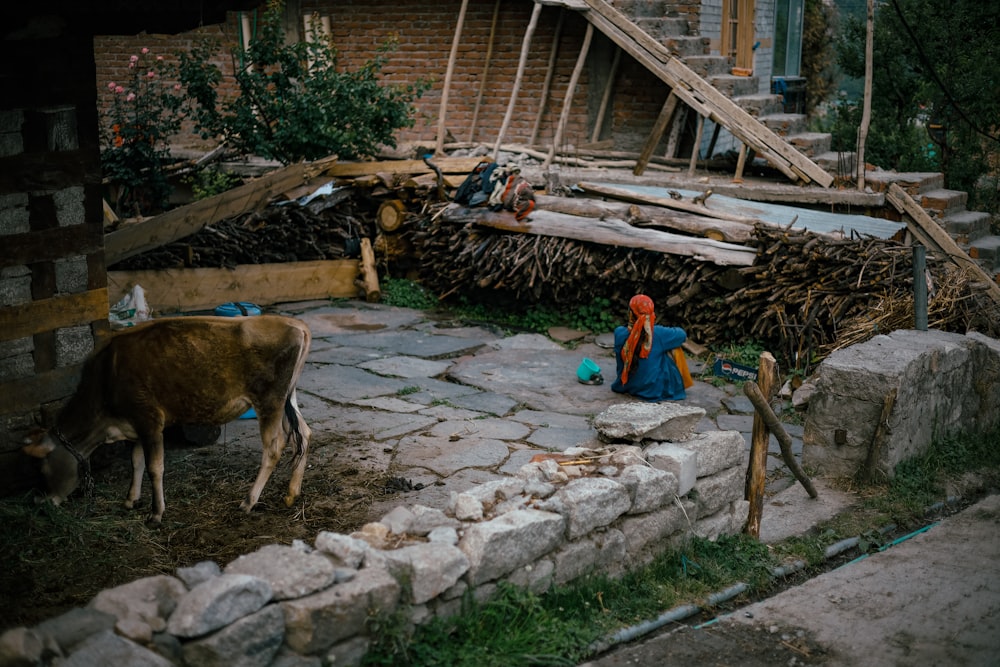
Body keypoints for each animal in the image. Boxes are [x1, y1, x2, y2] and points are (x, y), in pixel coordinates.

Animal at [23, 316, 312, 524]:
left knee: (274, 447)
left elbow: (154, 467)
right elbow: (136, 461)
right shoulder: (136, 424)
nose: (41, 503)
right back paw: (291, 493)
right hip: (287, 397)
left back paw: (248, 501)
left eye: (42, 469)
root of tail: (296, 324)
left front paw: (156, 513)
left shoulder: (149, 418)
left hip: (269, 400)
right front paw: (130, 500)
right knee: (305, 433)